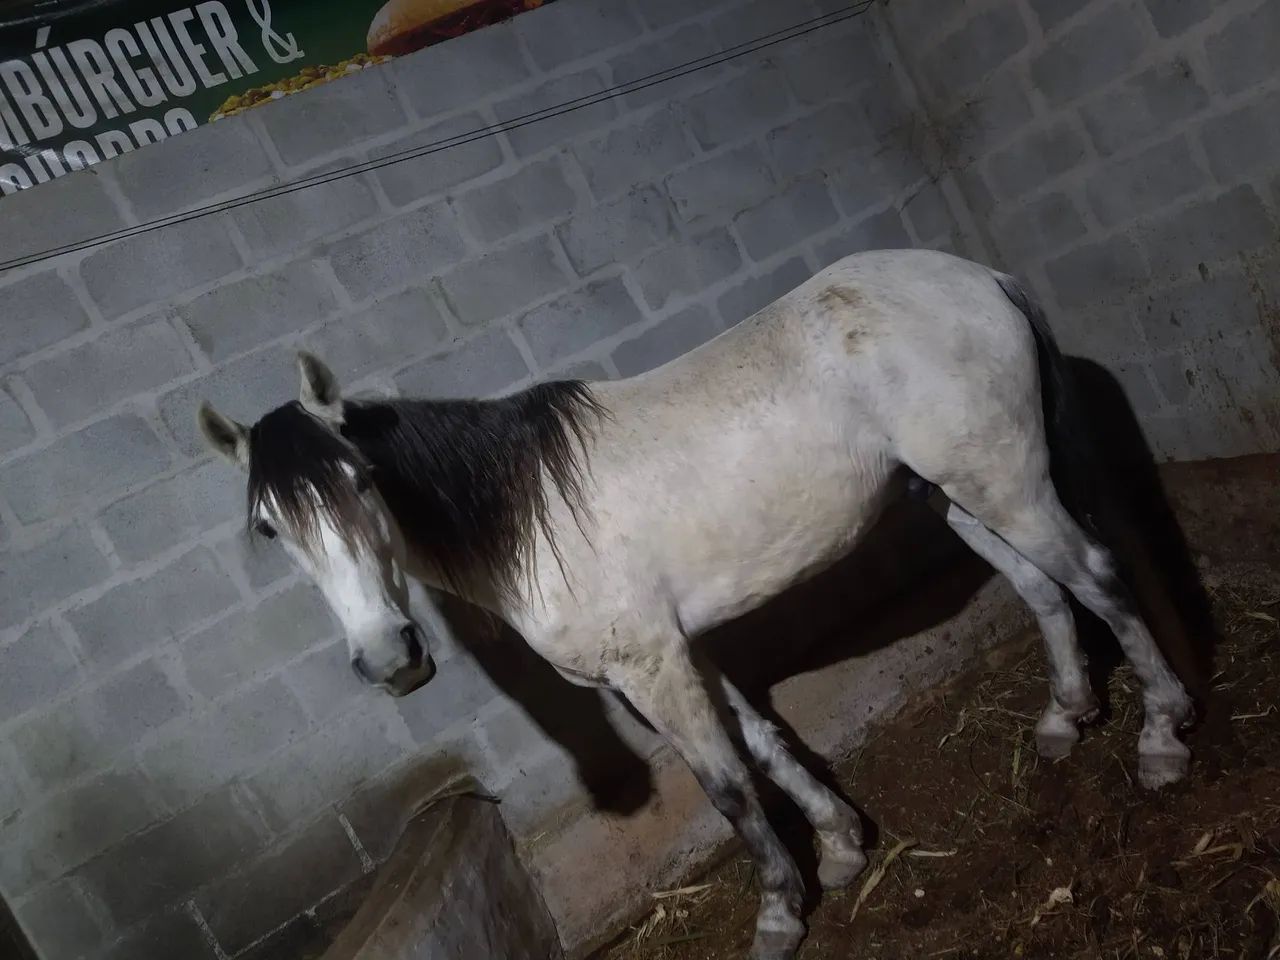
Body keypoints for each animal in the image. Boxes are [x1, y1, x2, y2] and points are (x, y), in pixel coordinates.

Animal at [198, 248, 1194, 960]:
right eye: (270, 529)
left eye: (363, 481)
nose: (391, 659)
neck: (528, 516)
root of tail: (976, 276)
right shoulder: (684, 650)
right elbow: (764, 742)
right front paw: (841, 846)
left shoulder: (652, 666)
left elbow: (726, 786)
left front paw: (779, 918)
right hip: (957, 496)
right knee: (1043, 589)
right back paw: (1066, 718)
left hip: (1006, 484)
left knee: (1099, 576)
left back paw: (1162, 735)